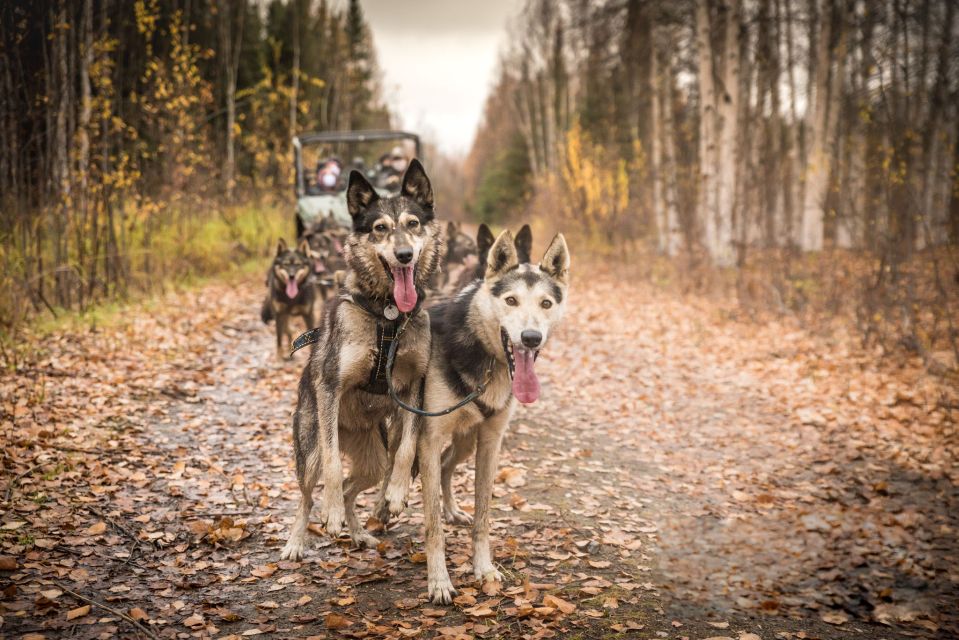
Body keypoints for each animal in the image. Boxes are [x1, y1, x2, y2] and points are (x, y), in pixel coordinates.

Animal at [278, 160, 442, 560]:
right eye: (380, 228)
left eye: (413, 224)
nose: (404, 255)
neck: (388, 315)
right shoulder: (331, 386)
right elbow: (334, 466)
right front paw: (332, 513)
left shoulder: (414, 387)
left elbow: (407, 448)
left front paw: (396, 493)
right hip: (309, 452)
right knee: (308, 495)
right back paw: (297, 540)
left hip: (373, 460)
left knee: (356, 486)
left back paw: (358, 533)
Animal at [414, 228, 568, 604]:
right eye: (511, 300)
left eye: (546, 304)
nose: (531, 338)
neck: (485, 360)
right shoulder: (429, 439)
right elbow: (432, 526)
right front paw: (438, 581)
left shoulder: (489, 443)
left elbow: (483, 516)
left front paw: (483, 568)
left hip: (465, 442)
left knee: (446, 467)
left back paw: (452, 510)